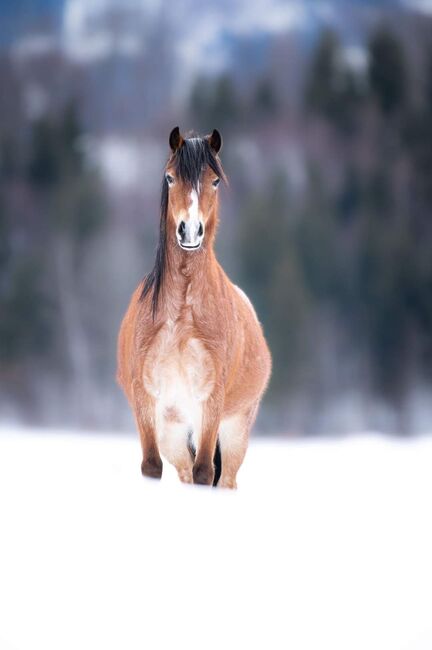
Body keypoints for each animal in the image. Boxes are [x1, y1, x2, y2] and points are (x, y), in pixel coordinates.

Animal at [116, 126, 272, 484]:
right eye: (170, 177)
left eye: (214, 181)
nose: (190, 231)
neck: (180, 314)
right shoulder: (147, 400)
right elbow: (152, 466)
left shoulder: (210, 401)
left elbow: (204, 471)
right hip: (175, 433)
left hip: (234, 433)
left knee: (223, 478)